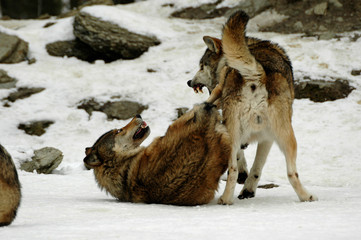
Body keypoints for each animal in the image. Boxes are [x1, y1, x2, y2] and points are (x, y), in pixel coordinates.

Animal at [187, 10, 316, 203]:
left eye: (202, 66)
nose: (189, 82)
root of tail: (256, 74)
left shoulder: (259, 137)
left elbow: (250, 166)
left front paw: (246, 187)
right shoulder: (265, 138)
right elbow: (253, 165)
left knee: (235, 171)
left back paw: (226, 200)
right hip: (285, 137)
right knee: (290, 172)